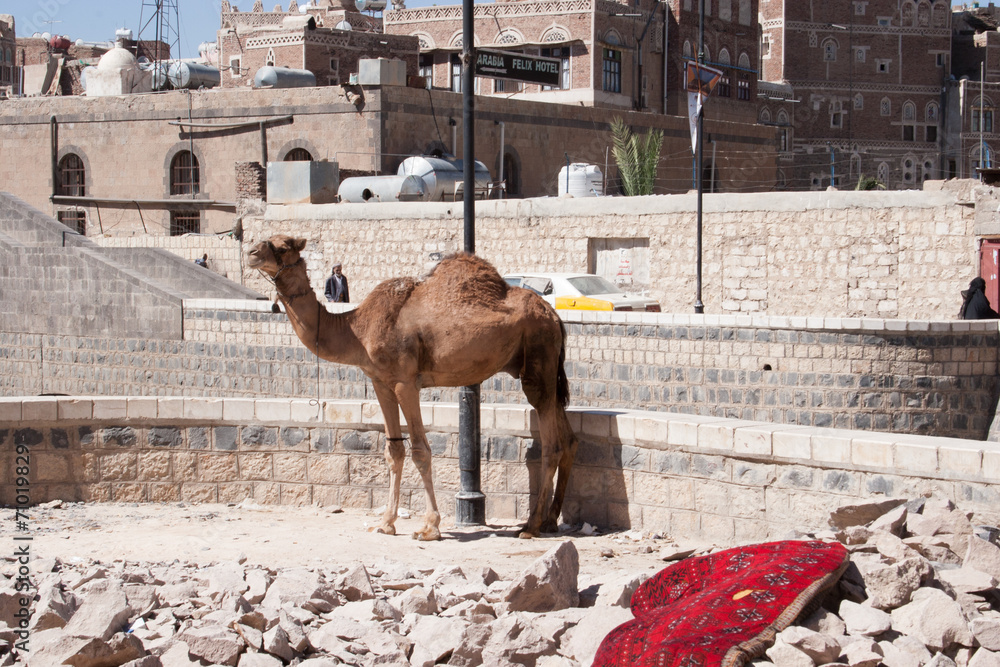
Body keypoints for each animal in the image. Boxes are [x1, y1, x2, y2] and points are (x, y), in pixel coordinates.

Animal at [246, 235, 579, 540]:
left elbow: (420, 449)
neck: (357, 329)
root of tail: (555, 317)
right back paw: (550, 520)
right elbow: (393, 449)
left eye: (283, 246)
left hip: (538, 360)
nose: (251, 252)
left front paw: (430, 527)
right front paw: (385, 523)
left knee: (551, 442)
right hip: (547, 367)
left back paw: (531, 525)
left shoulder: (405, 382)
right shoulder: (379, 381)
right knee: (568, 437)